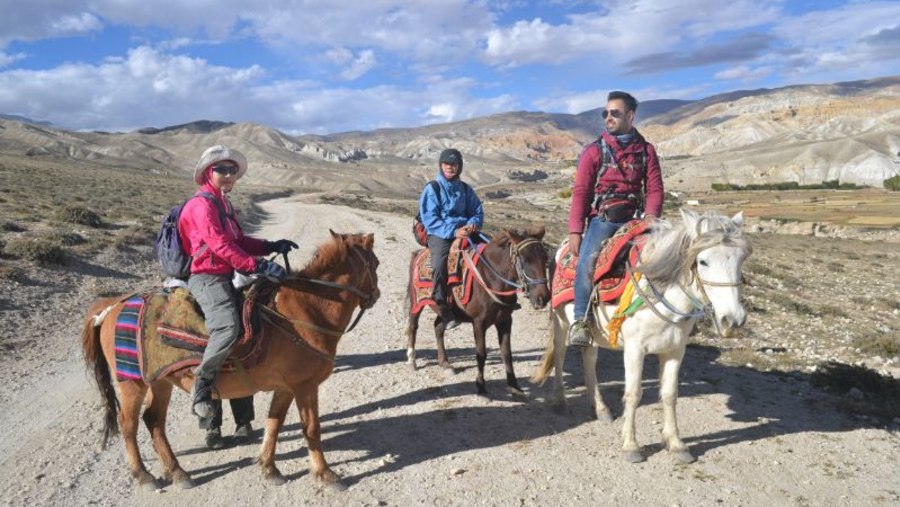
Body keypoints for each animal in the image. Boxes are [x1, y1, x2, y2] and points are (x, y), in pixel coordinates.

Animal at [79, 233, 382, 492]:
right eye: (376, 263)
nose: (376, 295)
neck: (306, 310)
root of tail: (111, 306)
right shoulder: (305, 386)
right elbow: (311, 429)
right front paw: (326, 474)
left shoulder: (286, 387)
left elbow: (274, 423)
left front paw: (269, 468)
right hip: (132, 383)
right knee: (128, 425)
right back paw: (144, 476)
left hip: (160, 380)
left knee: (153, 420)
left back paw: (178, 473)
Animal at [406, 228, 548, 398]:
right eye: (525, 260)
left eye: (546, 258)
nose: (543, 298)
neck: (491, 278)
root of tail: (418, 253)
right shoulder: (479, 323)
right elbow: (481, 354)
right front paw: (481, 387)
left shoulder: (505, 321)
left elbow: (506, 353)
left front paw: (514, 386)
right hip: (416, 303)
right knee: (413, 327)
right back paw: (412, 361)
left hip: (445, 312)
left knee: (438, 327)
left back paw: (445, 363)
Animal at [536, 209, 752, 464]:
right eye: (703, 261)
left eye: (741, 259)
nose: (733, 320)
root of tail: (561, 248)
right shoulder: (635, 349)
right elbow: (633, 394)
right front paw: (631, 446)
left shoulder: (674, 350)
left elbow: (669, 394)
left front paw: (676, 444)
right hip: (560, 321)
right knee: (559, 356)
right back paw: (560, 401)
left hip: (594, 332)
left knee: (589, 358)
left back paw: (600, 408)